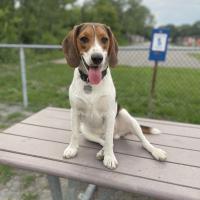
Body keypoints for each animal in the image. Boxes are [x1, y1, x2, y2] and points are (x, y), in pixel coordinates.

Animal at [61, 22, 166, 169]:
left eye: (105, 39)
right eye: (83, 39)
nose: (97, 58)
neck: (91, 84)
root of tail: (118, 134)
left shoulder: (110, 114)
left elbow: (109, 142)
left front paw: (109, 157)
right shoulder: (75, 112)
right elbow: (74, 134)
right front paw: (72, 149)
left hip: (128, 118)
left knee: (139, 141)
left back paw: (156, 151)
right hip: (87, 132)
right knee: (103, 141)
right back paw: (101, 152)